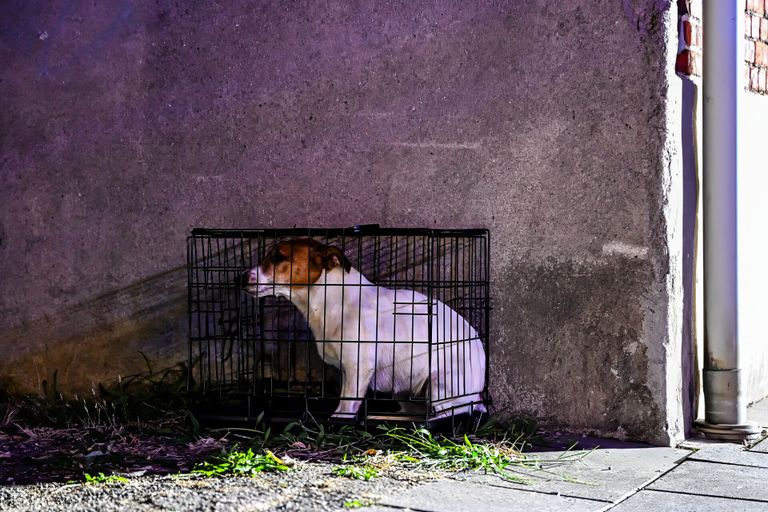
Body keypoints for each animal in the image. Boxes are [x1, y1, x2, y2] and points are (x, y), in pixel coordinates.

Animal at [243, 239, 486, 420]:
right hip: (406, 391)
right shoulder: (347, 370)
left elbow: (346, 405)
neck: (330, 298)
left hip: (440, 384)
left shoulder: (357, 368)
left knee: (450, 414)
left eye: (278, 256)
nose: (240, 277)